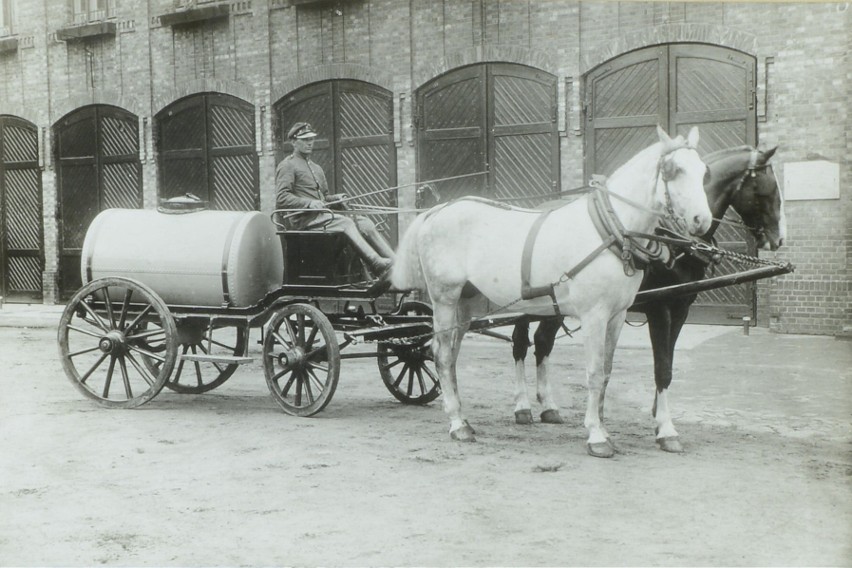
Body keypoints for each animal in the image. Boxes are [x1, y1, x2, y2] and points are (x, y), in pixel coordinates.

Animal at [392, 125, 712, 458]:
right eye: (672, 170)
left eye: (704, 171)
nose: (702, 220)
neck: (610, 230)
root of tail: (437, 210)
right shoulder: (596, 315)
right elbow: (594, 372)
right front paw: (596, 435)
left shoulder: (616, 316)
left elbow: (607, 371)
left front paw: (607, 429)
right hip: (444, 297)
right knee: (442, 354)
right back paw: (457, 424)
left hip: (466, 301)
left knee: (453, 354)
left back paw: (463, 417)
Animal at [510, 145, 784, 452]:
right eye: (766, 189)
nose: (778, 239)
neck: (676, 238)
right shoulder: (659, 309)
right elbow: (661, 367)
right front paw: (665, 429)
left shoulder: (680, 309)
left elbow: (666, 366)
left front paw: (652, 417)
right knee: (521, 344)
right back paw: (523, 407)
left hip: (555, 304)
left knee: (543, 342)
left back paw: (548, 406)